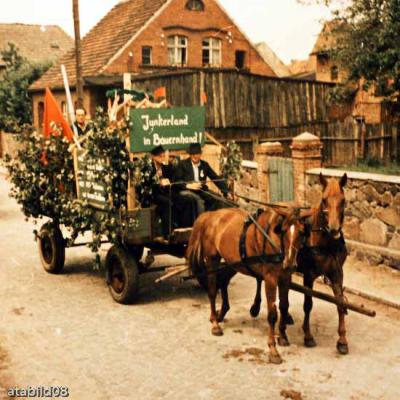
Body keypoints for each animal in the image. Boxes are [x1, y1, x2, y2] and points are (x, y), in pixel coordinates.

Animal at [186, 206, 309, 364]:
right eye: (283, 230)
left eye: (301, 232)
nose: (289, 263)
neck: (273, 239)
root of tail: (210, 215)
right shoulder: (270, 278)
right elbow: (272, 314)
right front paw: (273, 350)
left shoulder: (285, 277)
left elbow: (284, 306)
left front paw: (282, 336)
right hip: (212, 259)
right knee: (212, 290)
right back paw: (215, 323)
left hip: (232, 262)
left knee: (223, 282)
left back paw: (221, 313)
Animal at [249, 173, 349, 354]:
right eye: (324, 200)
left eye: (343, 200)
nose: (334, 229)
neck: (326, 243)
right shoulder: (309, 275)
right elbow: (308, 305)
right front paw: (308, 336)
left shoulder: (337, 273)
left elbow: (340, 303)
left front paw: (342, 340)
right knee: (260, 279)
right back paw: (255, 306)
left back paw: (286, 316)